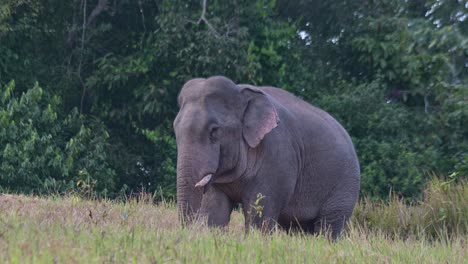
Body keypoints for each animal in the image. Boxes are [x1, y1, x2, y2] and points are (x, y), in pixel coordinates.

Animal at [174, 76, 360, 239]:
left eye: (214, 130)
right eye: (175, 129)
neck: (240, 91)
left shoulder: (276, 156)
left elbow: (260, 213)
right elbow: (214, 208)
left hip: (344, 186)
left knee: (329, 226)